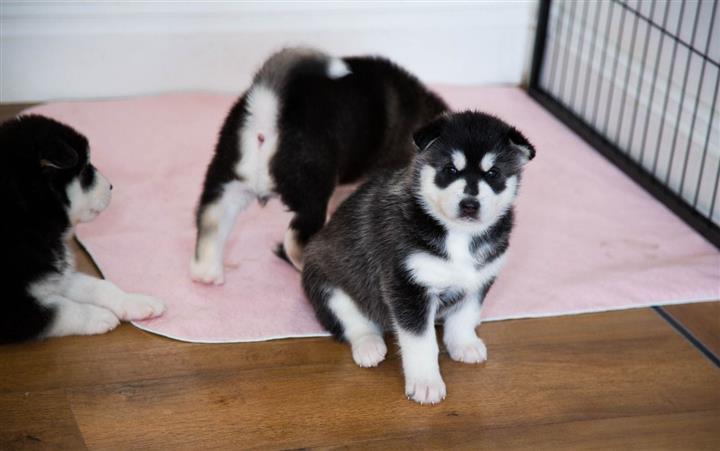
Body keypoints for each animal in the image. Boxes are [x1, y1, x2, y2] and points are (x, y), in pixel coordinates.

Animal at [0, 115, 166, 342]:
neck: (27, 217)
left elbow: (98, 285)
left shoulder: (57, 275)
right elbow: (60, 309)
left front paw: (135, 301)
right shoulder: (14, 308)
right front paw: (99, 316)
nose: (111, 186)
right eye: (85, 170)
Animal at [191, 46, 450, 282]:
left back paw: (207, 273)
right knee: (295, 241)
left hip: (226, 184)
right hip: (311, 195)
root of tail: (268, 112)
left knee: (211, 223)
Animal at [300, 111, 536, 404]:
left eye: (493, 173)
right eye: (450, 170)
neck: (459, 236)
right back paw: (369, 345)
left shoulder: (478, 280)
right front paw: (426, 382)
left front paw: (464, 343)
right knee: (352, 320)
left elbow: (464, 315)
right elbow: (421, 343)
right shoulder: (408, 288)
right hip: (327, 284)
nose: (470, 204)